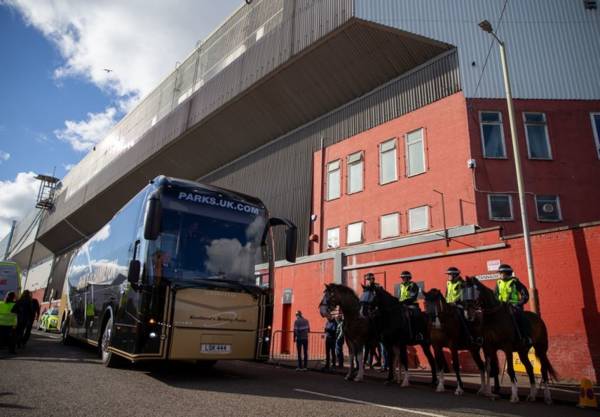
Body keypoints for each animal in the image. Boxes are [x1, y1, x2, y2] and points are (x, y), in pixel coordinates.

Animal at [464, 276, 556, 404]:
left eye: (474, 290)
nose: (468, 314)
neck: (494, 316)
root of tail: (538, 318)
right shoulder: (489, 347)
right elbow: (489, 368)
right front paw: (488, 393)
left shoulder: (507, 347)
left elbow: (511, 370)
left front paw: (514, 396)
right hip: (522, 351)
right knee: (530, 368)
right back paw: (532, 395)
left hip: (541, 349)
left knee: (543, 370)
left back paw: (547, 397)